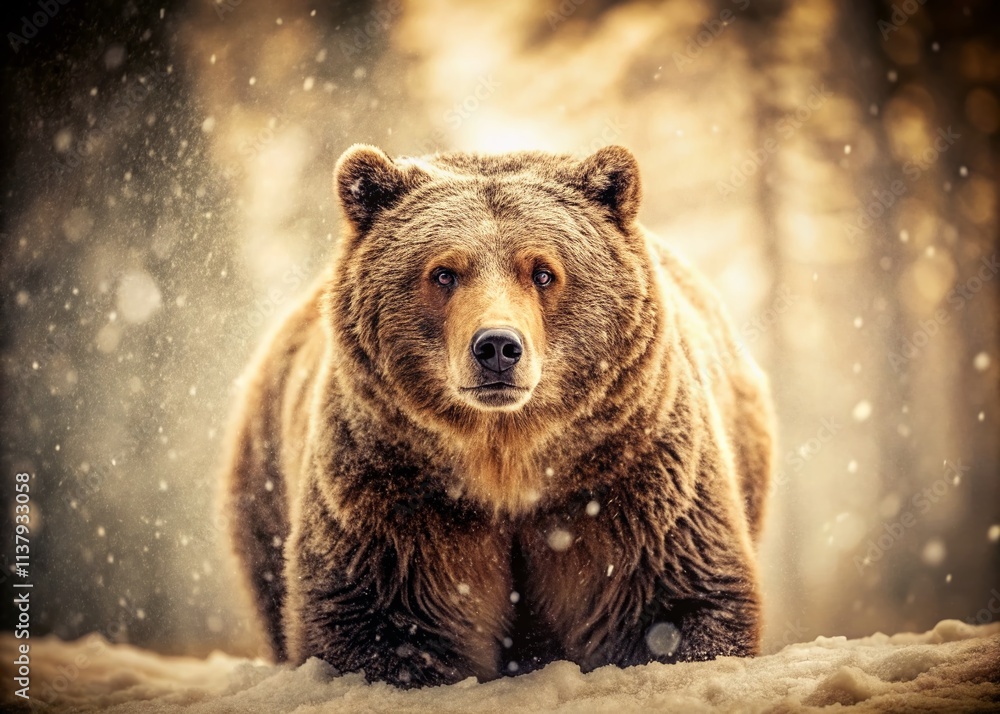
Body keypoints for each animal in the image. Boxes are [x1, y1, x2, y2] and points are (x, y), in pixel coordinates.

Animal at [222, 143, 775, 687]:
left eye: (543, 271)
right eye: (443, 272)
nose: (497, 347)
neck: (506, 462)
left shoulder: (630, 480)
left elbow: (668, 606)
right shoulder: (394, 497)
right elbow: (383, 619)